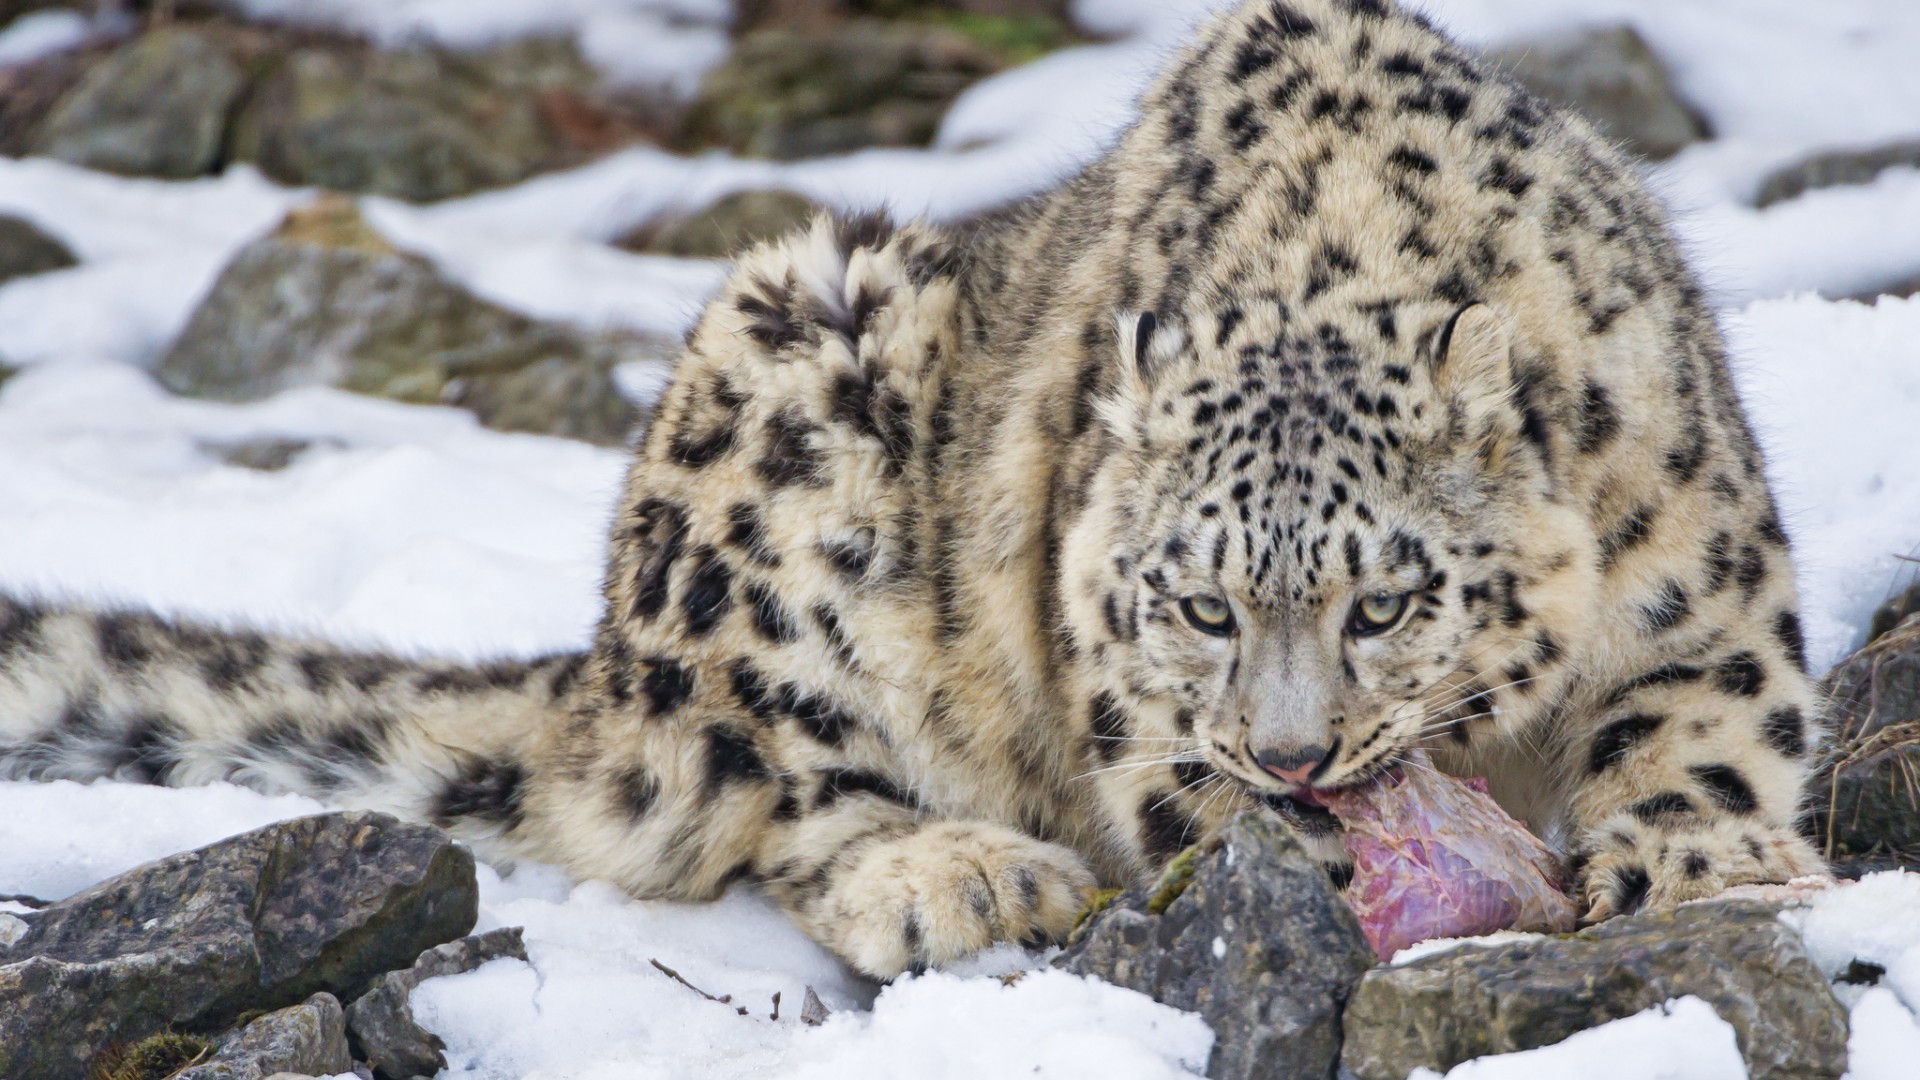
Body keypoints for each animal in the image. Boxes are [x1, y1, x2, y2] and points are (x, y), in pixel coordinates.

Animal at [0, 0, 1820, 976]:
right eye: (1198, 603)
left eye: (1387, 601)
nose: (1296, 754)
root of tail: (611, 666)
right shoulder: (1129, 700)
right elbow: (1188, 796)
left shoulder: (1706, 553)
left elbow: (1710, 706)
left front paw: (1690, 860)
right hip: (788, 392)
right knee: (783, 800)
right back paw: (954, 873)